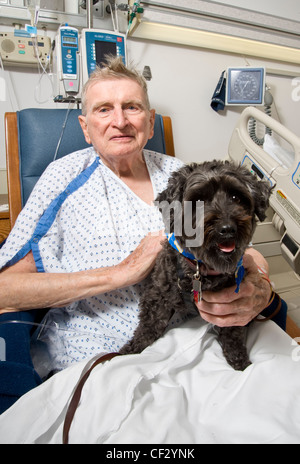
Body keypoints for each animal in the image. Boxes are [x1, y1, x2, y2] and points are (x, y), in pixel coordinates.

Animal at [119, 161, 272, 372]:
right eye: (198, 200)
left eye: (236, 197)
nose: (227, 229)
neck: (200, 269)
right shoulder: (159, 295)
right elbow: (150, 324)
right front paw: (132, 349)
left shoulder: (234, 308)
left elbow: (233, 332)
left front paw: (239, 360)